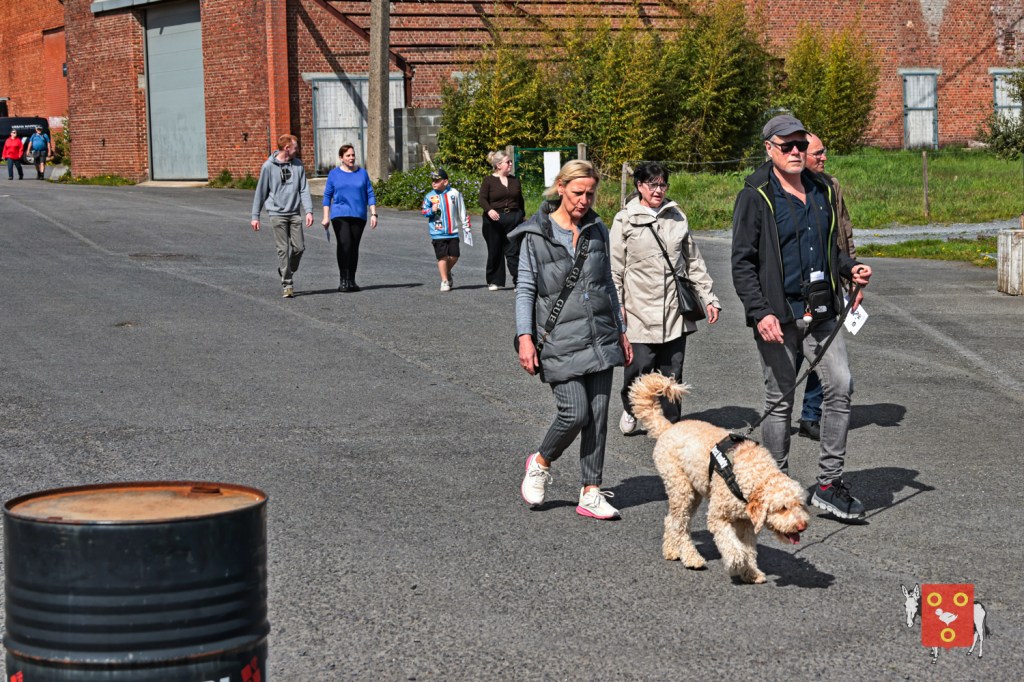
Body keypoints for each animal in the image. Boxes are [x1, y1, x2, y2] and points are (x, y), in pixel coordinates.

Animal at [629, 373, 809, 584]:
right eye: (782, 508)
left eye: (800, 505)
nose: (802, 526)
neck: (751, 474)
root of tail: (668, 428)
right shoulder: (718, 516)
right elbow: (732, 544)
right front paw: (737, 562)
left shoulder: (746, 523)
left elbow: (749, 549)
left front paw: (751, 572)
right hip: (680, 487)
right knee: (680, 525)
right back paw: (691, 558)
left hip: (693, 492)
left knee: (671, 520)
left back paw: (672, 550)